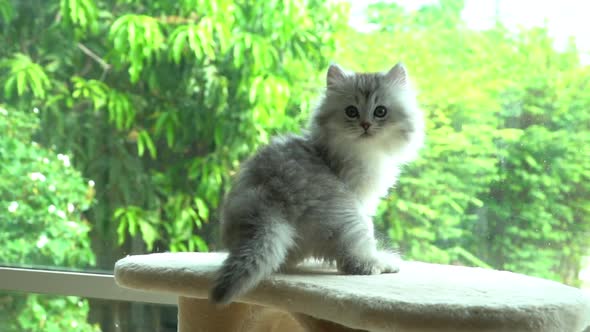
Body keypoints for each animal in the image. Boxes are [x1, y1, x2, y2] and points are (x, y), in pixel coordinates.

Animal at [210, 62, 428, 304]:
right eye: (351, 112)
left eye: (380, 111)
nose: (365, 125)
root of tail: (270, 201)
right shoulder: (358, 199)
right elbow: (369, 231)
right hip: (346, 215)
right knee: (353, 262)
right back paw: (382, 263)